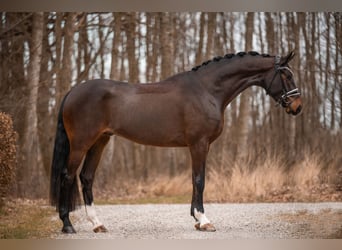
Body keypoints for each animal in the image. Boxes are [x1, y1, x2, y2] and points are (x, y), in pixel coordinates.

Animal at [48, 51, 302, 234]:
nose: (297, 106)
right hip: (80, 144)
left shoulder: (200, 145)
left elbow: (194, 179)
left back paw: (97, 224)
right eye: (287, 75)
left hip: (99, 142)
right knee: (68, 176)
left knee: (86, 178)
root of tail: (72, 92)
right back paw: (67, 225)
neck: (207, 90)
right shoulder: (199, 144)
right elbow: (199, 180)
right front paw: (204, 220)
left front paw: (196, 220)